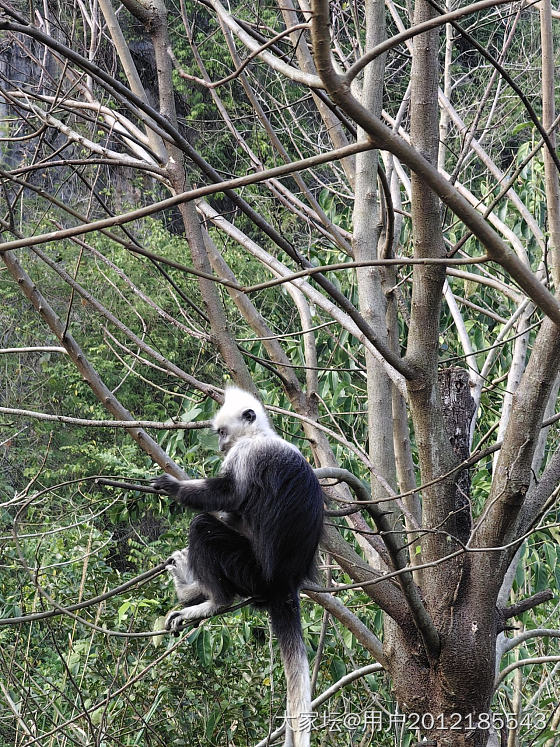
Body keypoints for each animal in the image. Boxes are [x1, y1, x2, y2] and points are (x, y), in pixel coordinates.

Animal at [152, 388, 324, 747]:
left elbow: (228, 497)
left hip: (249, 570)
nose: (219, 445)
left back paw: (212, 601)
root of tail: (283, 583)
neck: (260, 435)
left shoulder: (244, 456)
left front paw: (175, 488)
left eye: (221, 432)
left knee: (204, 526)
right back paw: (189, 588)